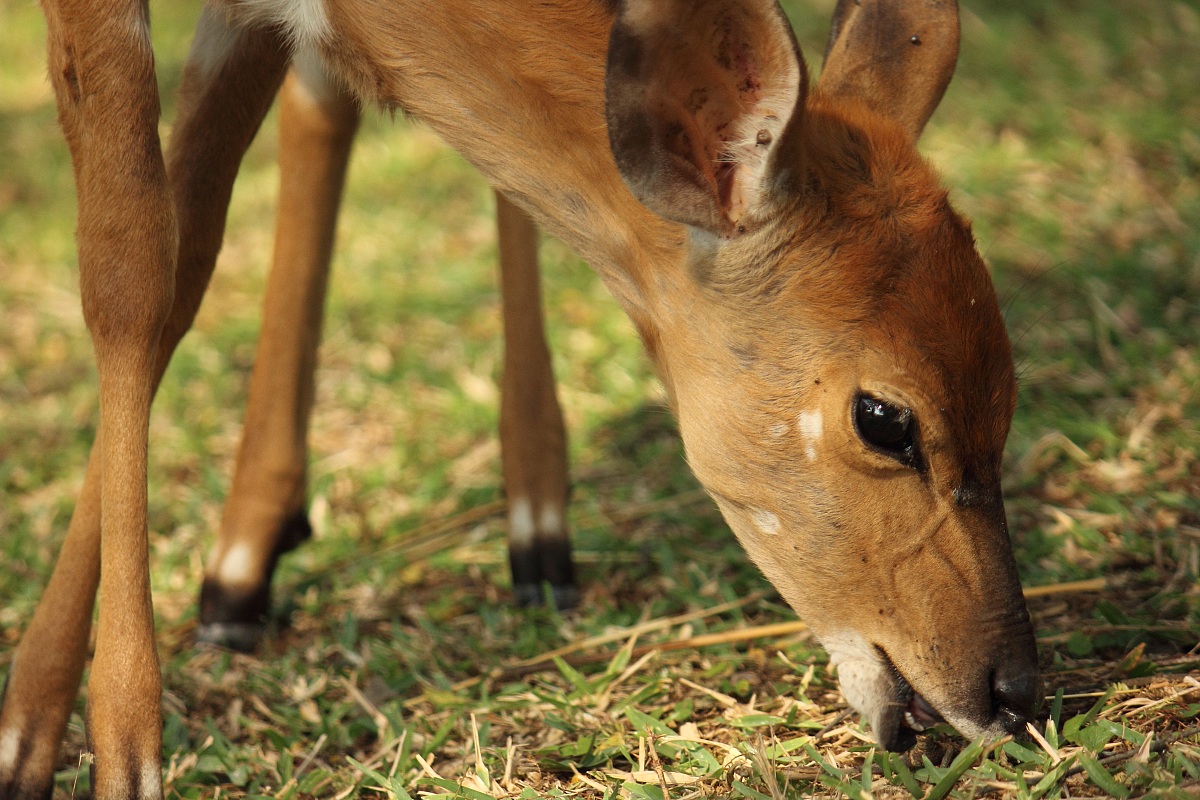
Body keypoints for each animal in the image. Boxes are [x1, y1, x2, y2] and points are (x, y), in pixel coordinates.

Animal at [0, 0, 1041, 795]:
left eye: (1008, 393)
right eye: (884, 417)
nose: (1013, 693)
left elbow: (186, 248)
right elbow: (142, 272)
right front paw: (79, 747)